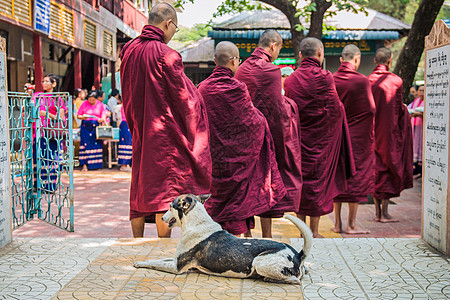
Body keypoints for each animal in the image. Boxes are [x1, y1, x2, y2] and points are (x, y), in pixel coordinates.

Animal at [134, 193, 312, 284]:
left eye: (170, 207)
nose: (161, 217)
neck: (196, 222)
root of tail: (298, 255)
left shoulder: (176, 268)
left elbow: (153, 263)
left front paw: (139, 263)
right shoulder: (176, 260)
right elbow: (158, 259)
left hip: (259, 262)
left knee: (295, 280)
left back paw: (268, 278)